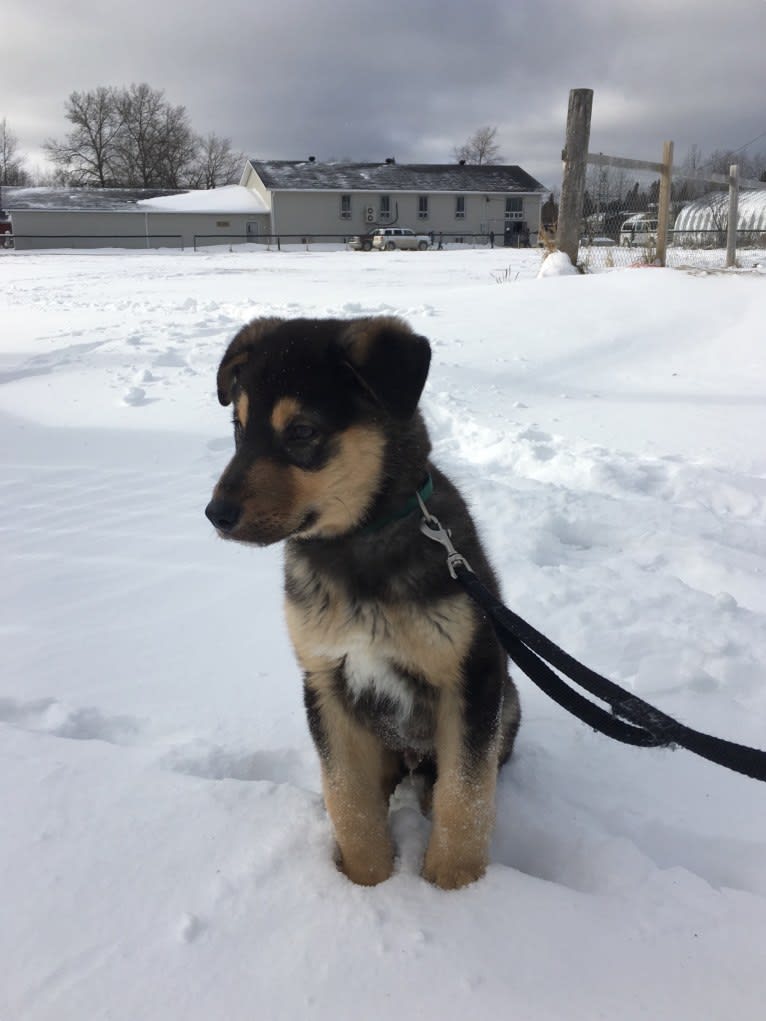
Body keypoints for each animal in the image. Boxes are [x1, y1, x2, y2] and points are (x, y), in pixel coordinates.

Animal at [205, 314, 522, 890]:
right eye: (239, 428)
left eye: (302, 432)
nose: (216, 514)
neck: (356, 545)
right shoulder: (325, 681)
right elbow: (347, 796)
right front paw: (366, 881)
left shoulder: (471, 676)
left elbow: (465, 795)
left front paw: (455, 886)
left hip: (506, 699)